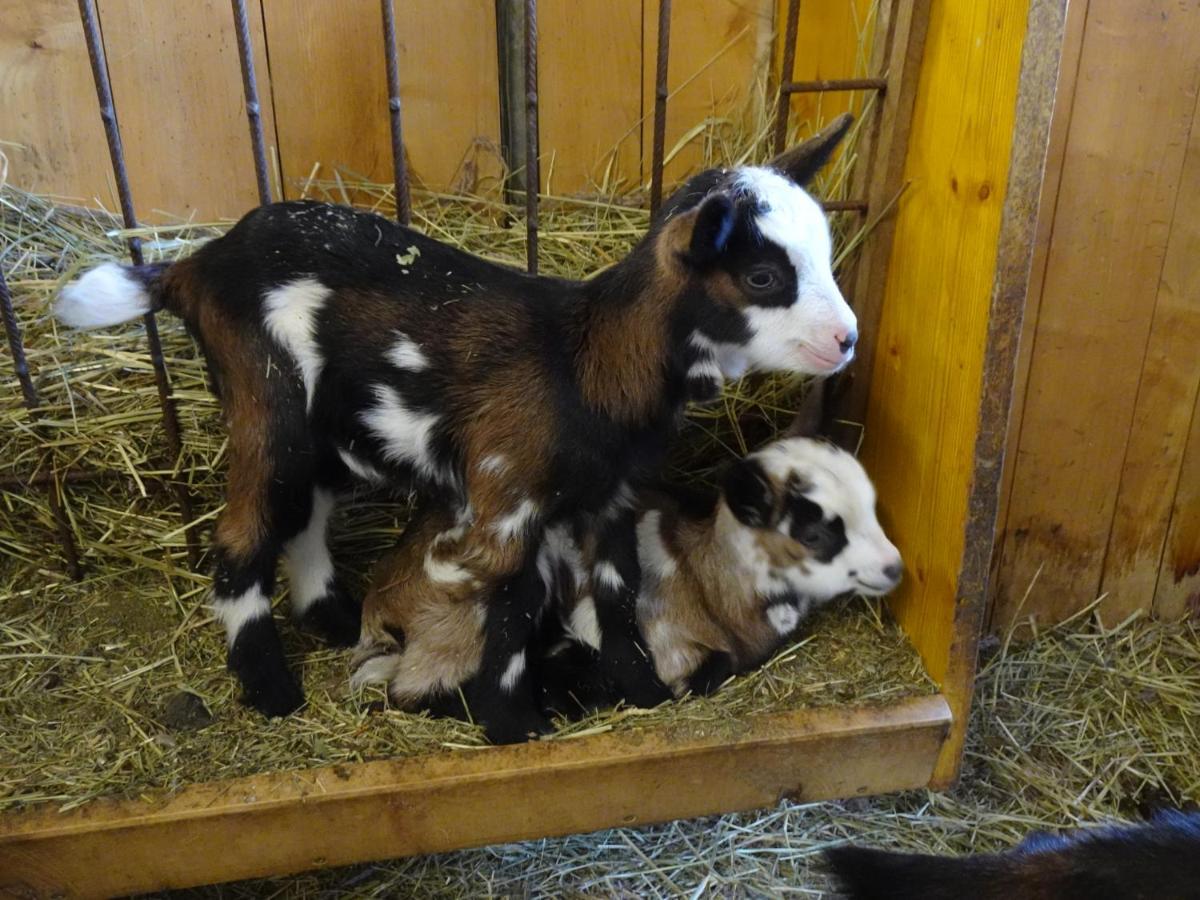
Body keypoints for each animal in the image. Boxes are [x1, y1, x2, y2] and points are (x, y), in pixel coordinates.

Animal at [56, 118, 859, 724]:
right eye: (763, 276)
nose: (847, 339)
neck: (585, 359)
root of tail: (190, 267)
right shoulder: (504, 499)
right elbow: (506, 604)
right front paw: (510, 723)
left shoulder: (606, 503)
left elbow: (616, 595)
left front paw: (641, 691)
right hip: (265, 394)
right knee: (244, 534)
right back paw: (271, 690)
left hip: (325, 427)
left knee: (305, 512)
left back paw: (331, 618)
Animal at [350, 432, 902, 739]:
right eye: (815, 533)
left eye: (873, 505)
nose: (894, 567)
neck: (709, 578)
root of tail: (382, 595)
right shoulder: (668, 643)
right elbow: (700, 674)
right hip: (465, 616)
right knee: (414, 690)